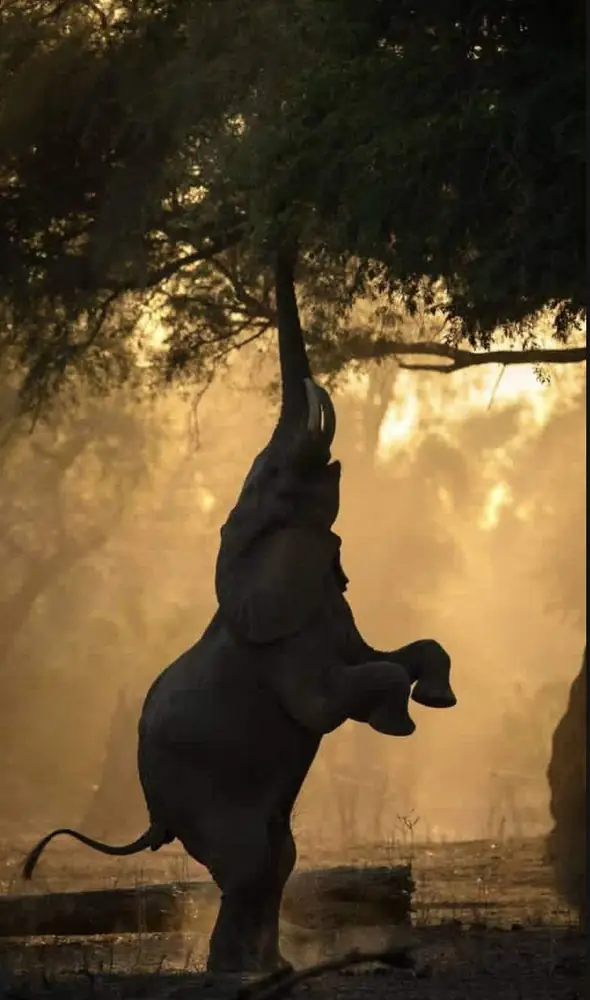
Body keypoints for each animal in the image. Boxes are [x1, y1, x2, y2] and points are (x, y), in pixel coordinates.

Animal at [22, 245, 456, 975]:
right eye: (277, 479)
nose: (282, 238)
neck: (250, 540)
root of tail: (153, 815)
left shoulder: (325, 605)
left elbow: (397, 652)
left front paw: (438, 697)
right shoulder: (281, 647)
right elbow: (330, 698)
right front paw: (400, 720)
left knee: (277, 858)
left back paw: (271, 967)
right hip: (197, 786)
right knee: (252, 862)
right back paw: (240, 972)